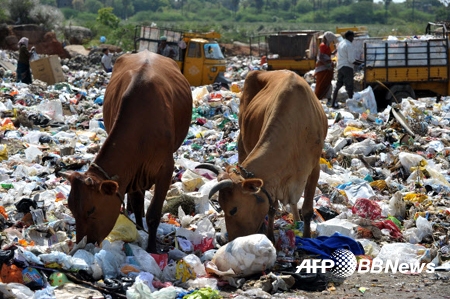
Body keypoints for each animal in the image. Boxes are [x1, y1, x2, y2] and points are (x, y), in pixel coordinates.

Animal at [66, 49, 192, 253]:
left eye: (91, 210)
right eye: (71, 208)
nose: (86, 243)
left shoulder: (166, 168)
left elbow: (154, 213)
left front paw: (152, 249)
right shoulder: (133, 170)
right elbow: (137, 200)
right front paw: (139, 231)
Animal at [200, 69, 326, 244]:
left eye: (233, 209)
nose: (230, 240)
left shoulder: (314, 169)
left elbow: (307, 209)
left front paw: (307, 237)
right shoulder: (272, 181)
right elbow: (272, 208)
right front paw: (270, 237)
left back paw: (297, 220)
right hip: (242, 139)